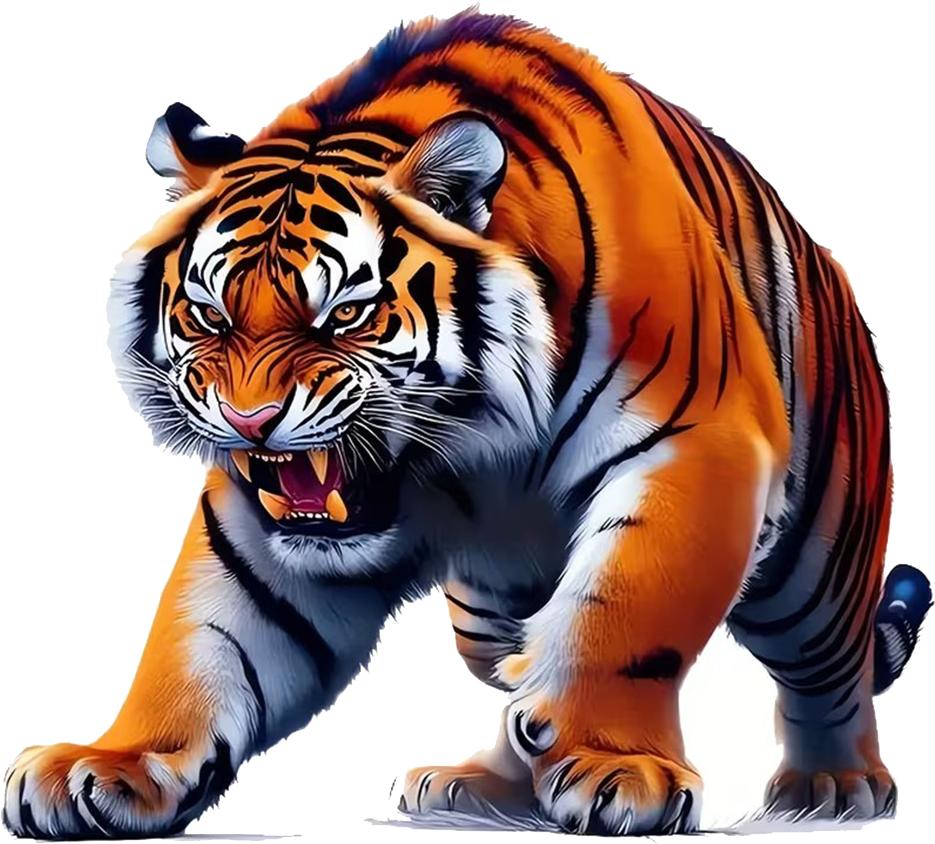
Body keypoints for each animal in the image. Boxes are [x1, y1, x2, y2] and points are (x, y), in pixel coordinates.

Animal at [3, 9, 930, 839]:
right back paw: (480, 785)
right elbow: (202, 638)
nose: (250, 420)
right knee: (520, 673)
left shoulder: (693, 446)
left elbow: (624, 613)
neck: (472, 455)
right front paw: (106, 764)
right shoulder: (255, 521)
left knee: (828, 671)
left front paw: (618, 769)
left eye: (343, 315)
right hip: (485, 617)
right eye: (208, 314)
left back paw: (832, 786)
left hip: (817, 566)